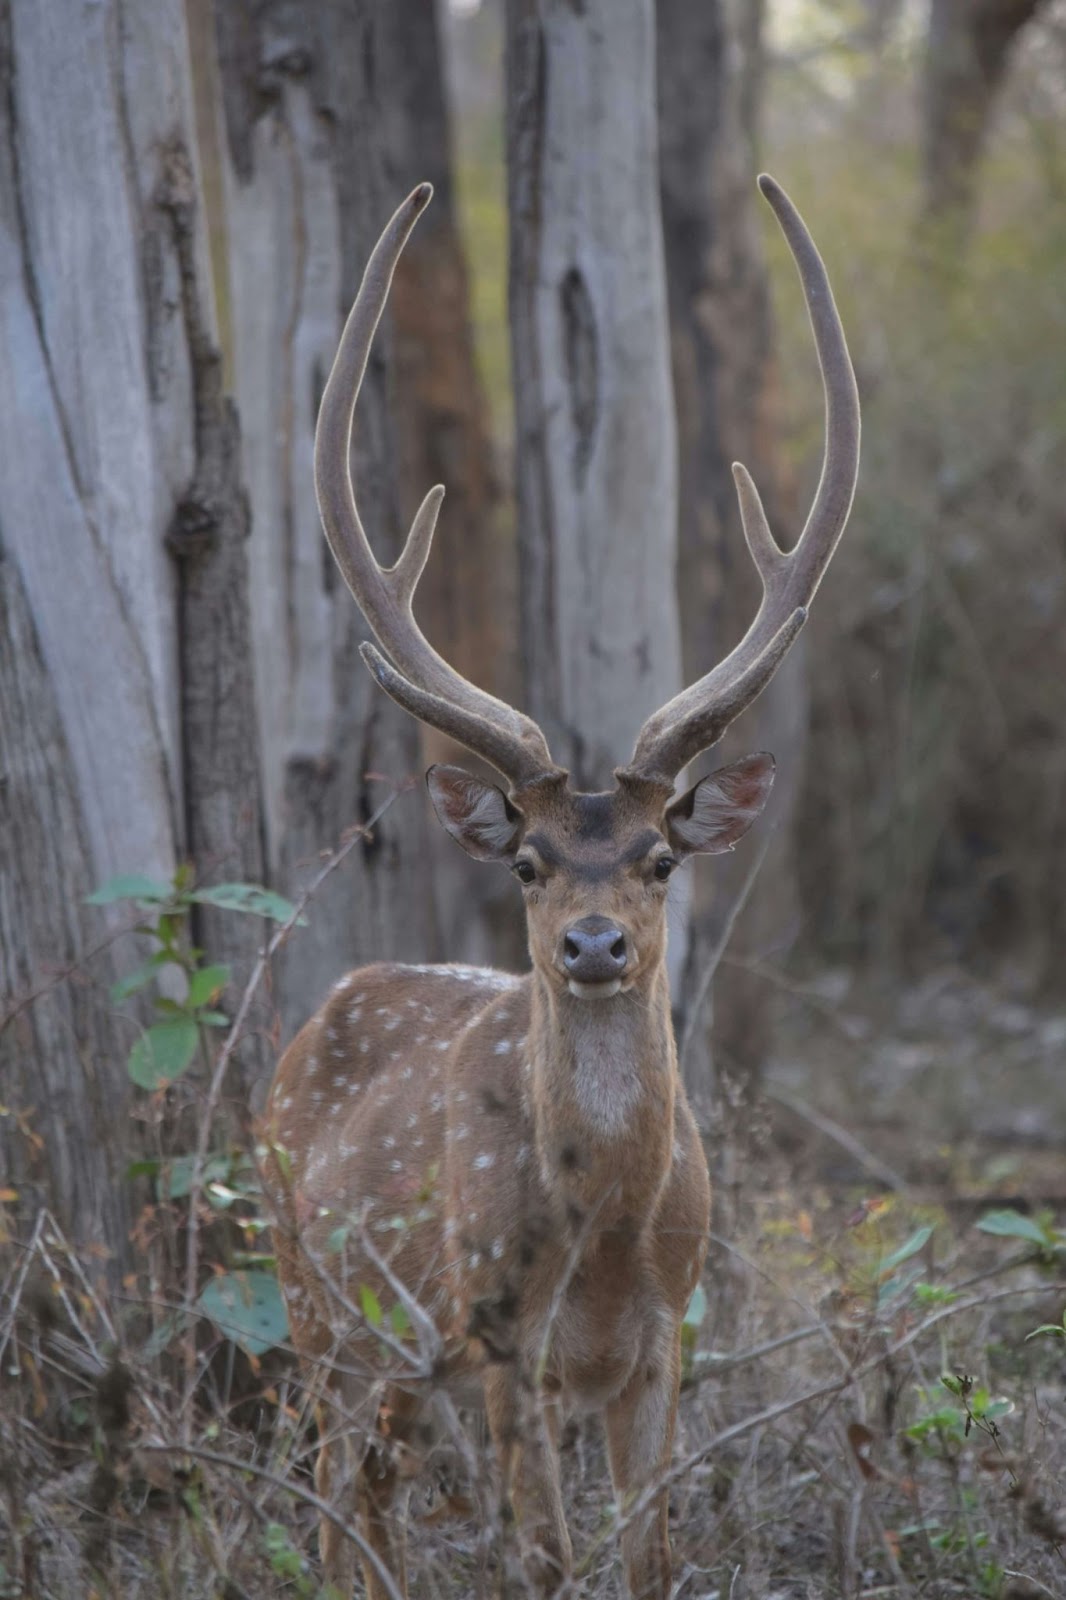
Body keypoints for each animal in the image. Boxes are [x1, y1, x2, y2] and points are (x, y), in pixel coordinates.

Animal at [260, 178, 857, 1600]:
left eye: (659, 858)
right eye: (528, 860)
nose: (590, 945)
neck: (604, 1247)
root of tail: (310, 1026)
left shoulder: (663, 1345)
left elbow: (650, 1556)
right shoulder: (499, 1341)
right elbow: (539, 1557)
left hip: (389, 1357)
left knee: (368, 1500)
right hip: (313, 1295)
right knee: (333, 1501)